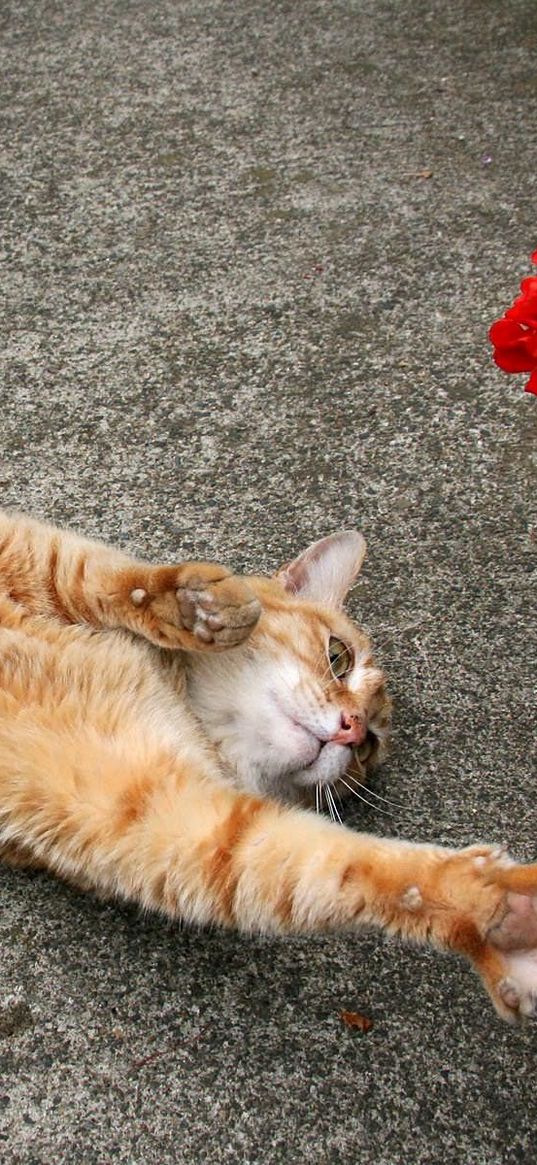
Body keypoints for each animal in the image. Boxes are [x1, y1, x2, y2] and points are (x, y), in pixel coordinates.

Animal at [0, 514, 533, 1025]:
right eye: (339, 657)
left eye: (367, 749)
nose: (352, 730)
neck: (184, 699)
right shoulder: (22, 543)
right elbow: (86, 571)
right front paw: (194, 605)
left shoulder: (164, 819)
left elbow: (345, 868)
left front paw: (486, 909)